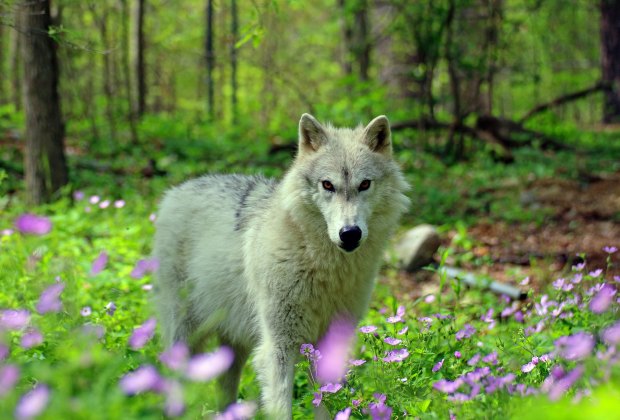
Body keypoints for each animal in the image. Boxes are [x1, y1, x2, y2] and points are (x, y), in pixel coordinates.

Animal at [153, 112, 410, 416]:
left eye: (365, 184)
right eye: (327, 185)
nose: (350, 233)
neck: (323, 268)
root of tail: (178, 189)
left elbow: (325, 401)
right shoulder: (278, 347)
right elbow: (281, 408)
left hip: (234, 346)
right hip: (185, 335)